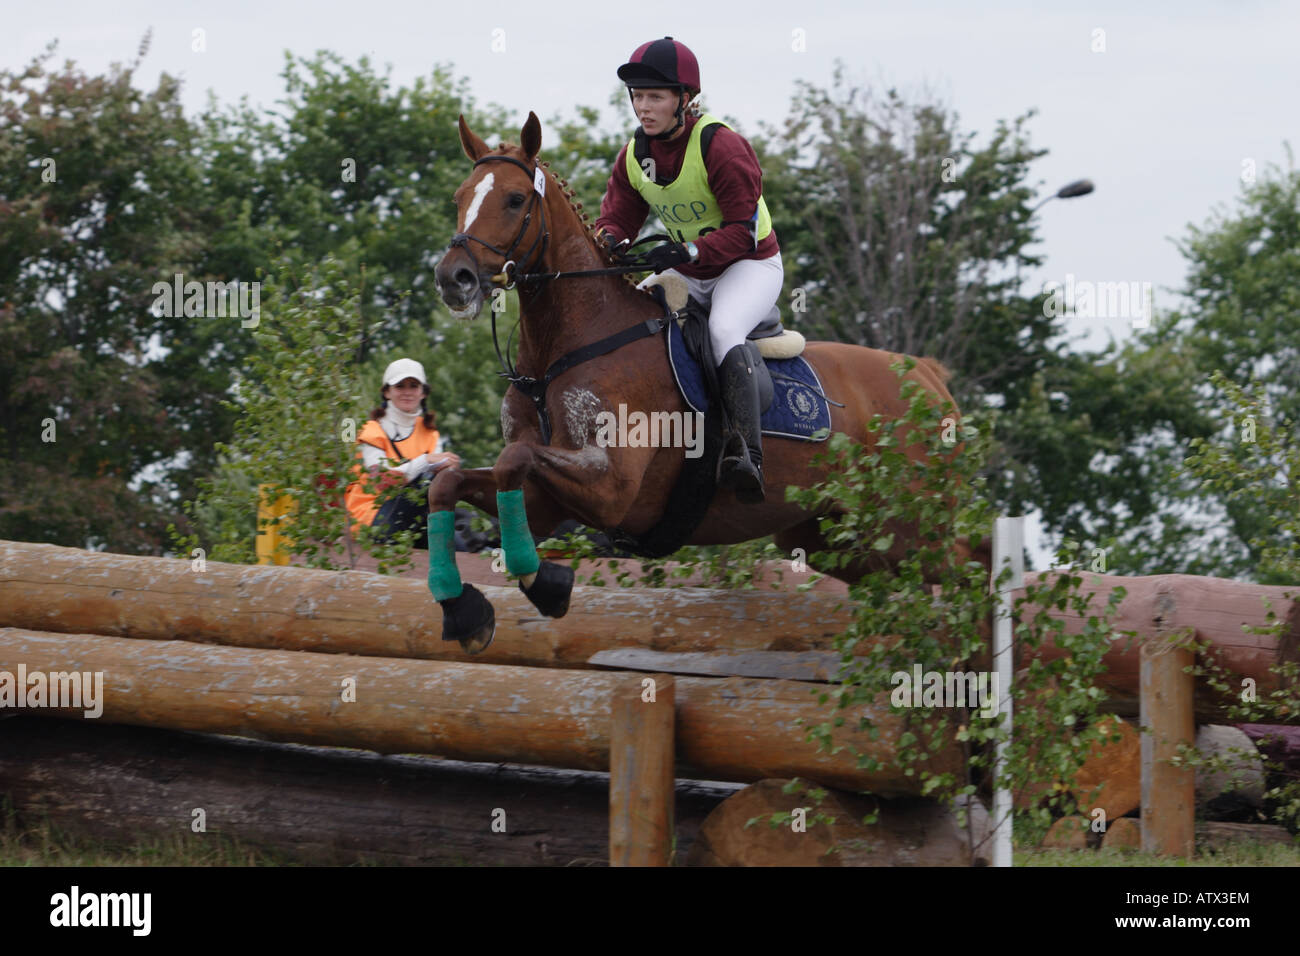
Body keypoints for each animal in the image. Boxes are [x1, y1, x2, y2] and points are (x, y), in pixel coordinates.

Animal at [431, 110, 977, 650]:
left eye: (515, 199)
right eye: (459, 197)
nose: (453, 279)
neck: (563, 350)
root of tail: (925, 374)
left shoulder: (612, 488)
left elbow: (514, 459)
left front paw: (545, 585)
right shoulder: (545, 502)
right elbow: (451, 481)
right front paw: (468, 612)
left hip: (911, 525)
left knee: (967, 568)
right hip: (836, 537)